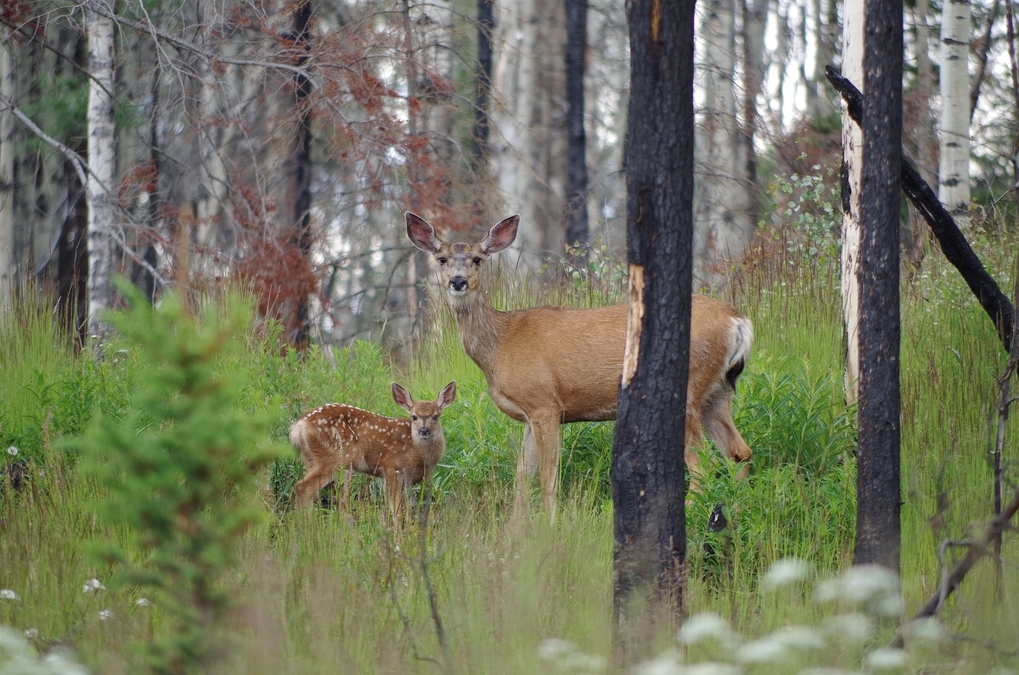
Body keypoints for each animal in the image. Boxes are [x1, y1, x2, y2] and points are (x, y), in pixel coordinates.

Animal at [291, 383, 458, 520]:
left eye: (435, 416)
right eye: (414, 417)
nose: (424, 431)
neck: (419, 454)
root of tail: (299, 426)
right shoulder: (391, 468)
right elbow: (398, 511)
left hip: (311, 459)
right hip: (335, 458)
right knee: (303, 487)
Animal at [407, 213, 758, 517]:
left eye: (478, 259)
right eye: (442, 259)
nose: (458, 281)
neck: (500, 344)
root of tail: (738, 322)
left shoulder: (544, 402)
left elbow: (547, 475)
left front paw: (550, 524)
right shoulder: (529, 414)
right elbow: (522, 476)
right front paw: (516, 532)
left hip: (686, 389)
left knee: (704, 464)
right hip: (717, 393)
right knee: (739, 452)